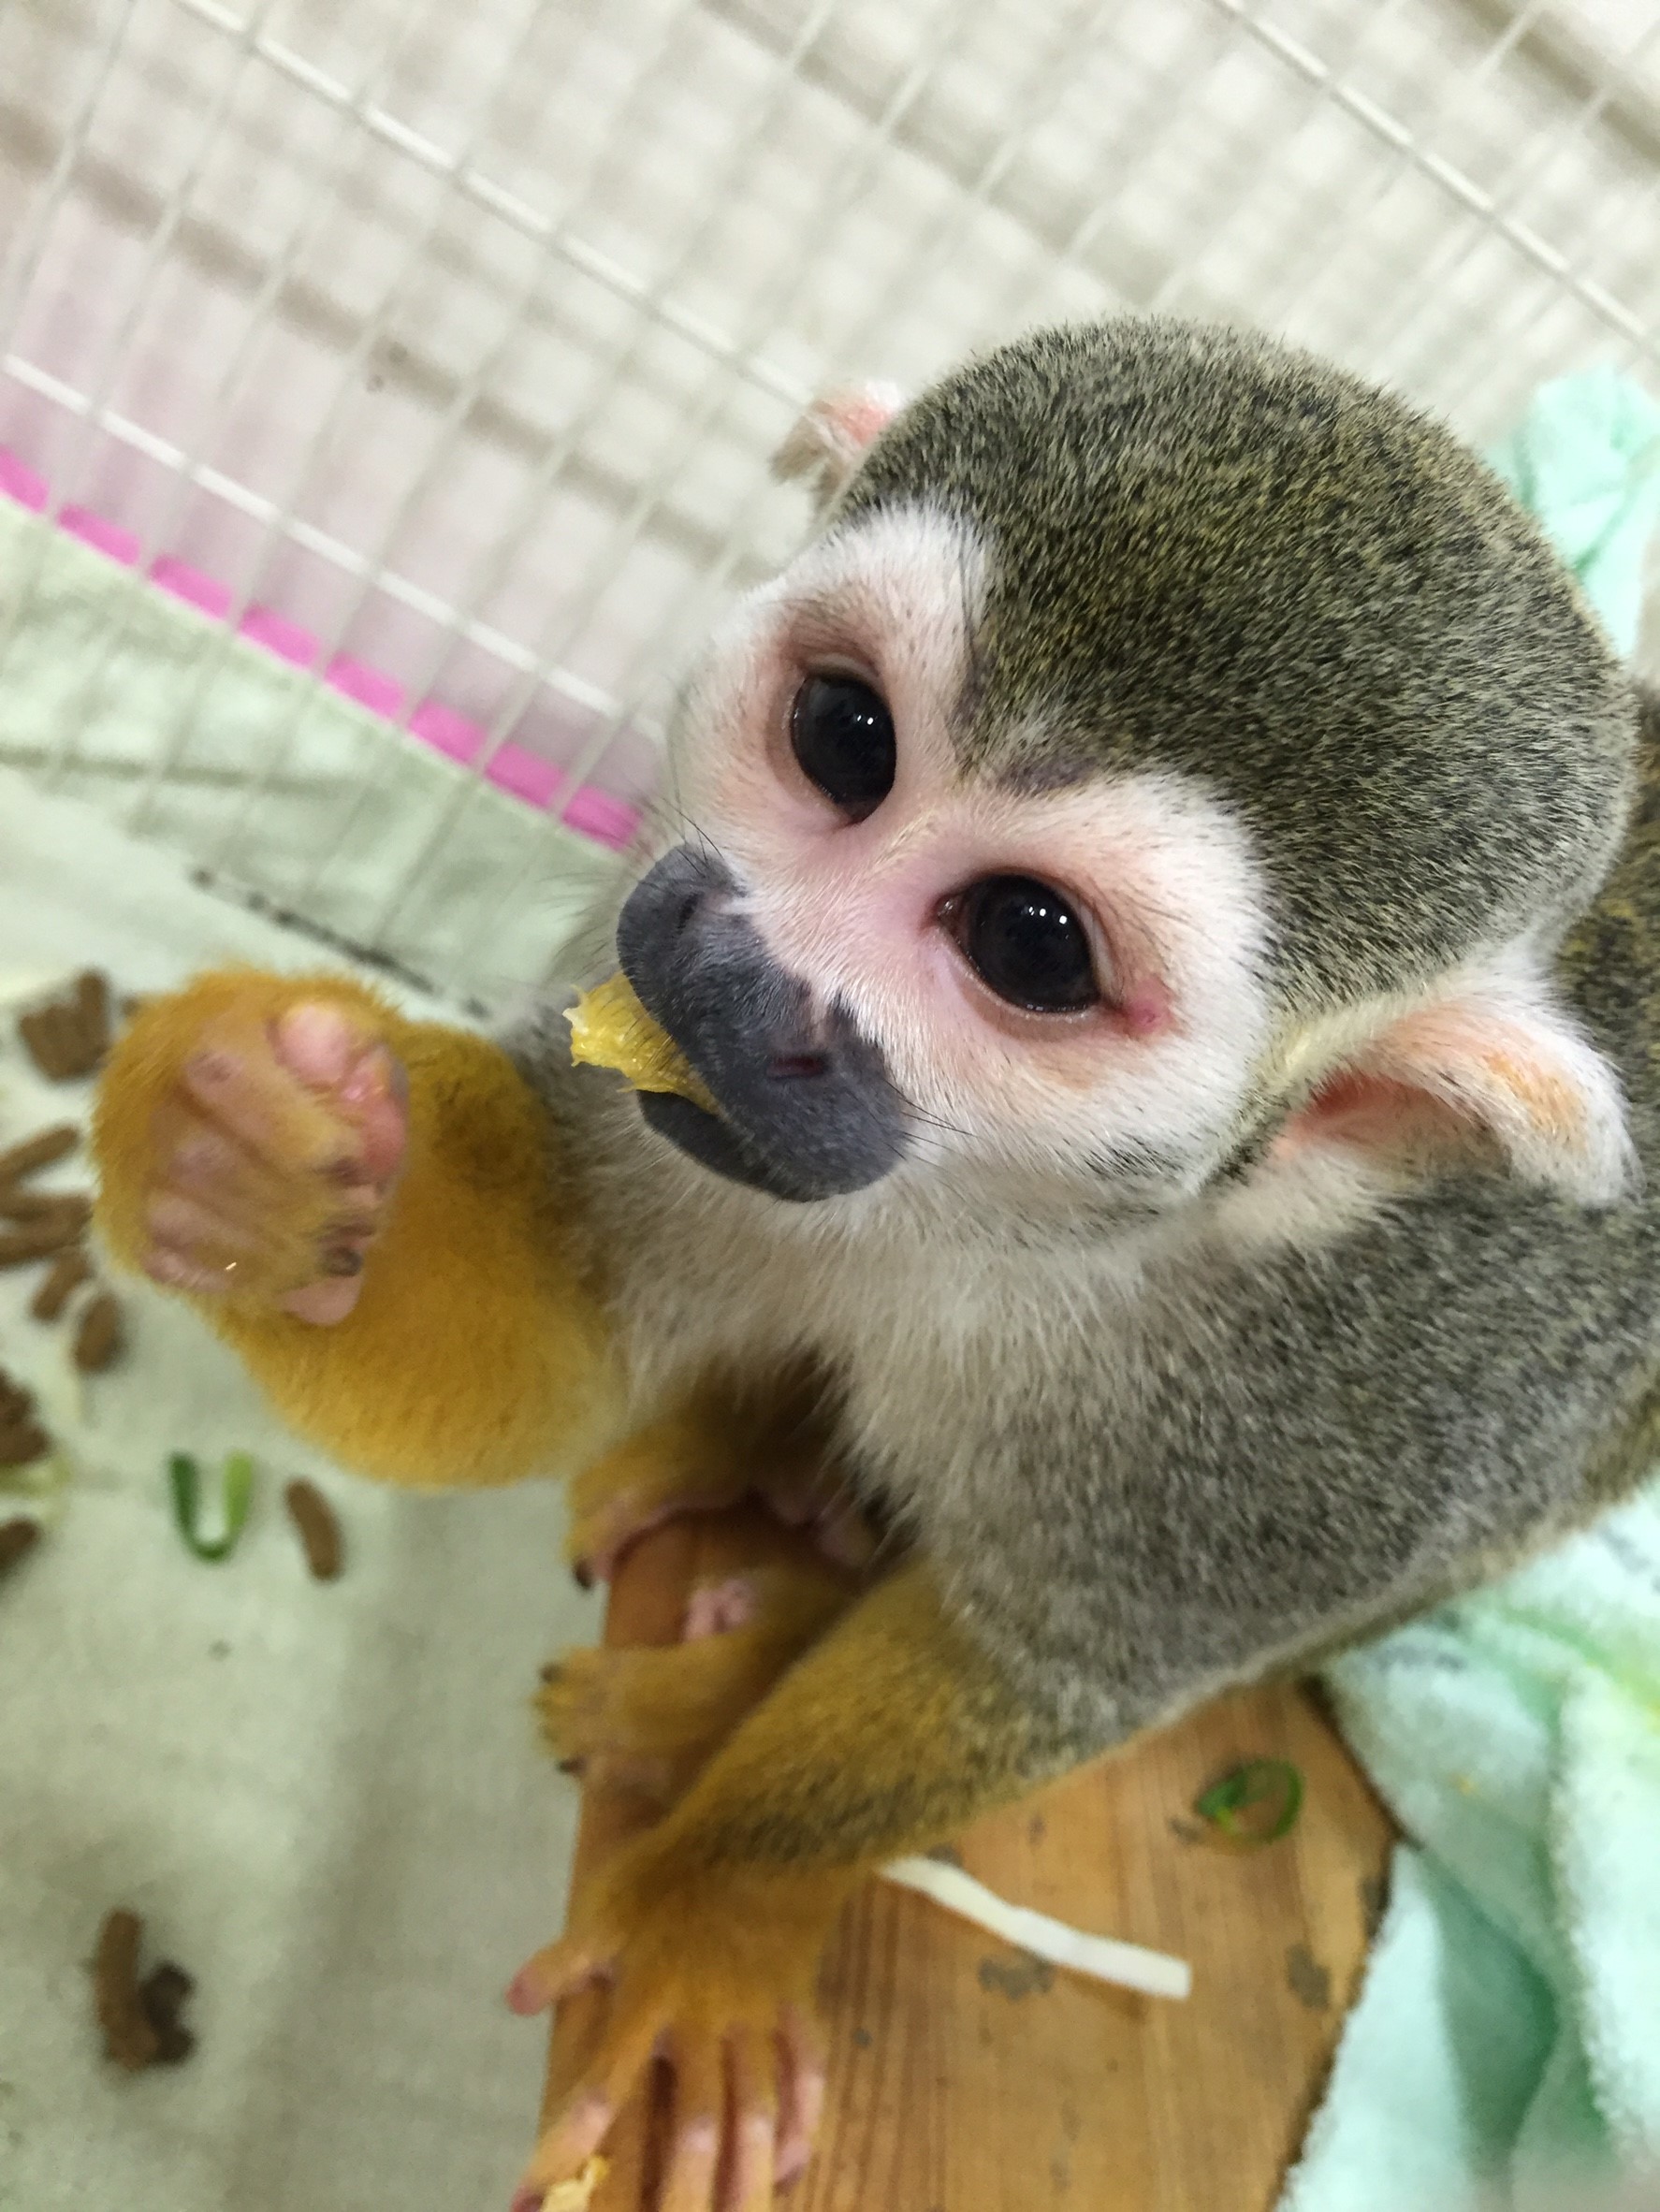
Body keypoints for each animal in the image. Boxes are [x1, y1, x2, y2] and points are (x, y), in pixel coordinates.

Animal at [94, 323, 1660, 2212]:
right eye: (845, 737)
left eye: (1028, 943)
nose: (738, 977)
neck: (1002, 1220)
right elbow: (555, 1327)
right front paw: (254, 1160)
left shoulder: (1354, 1396)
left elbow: (1042, 1670)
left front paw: (720, 1903)